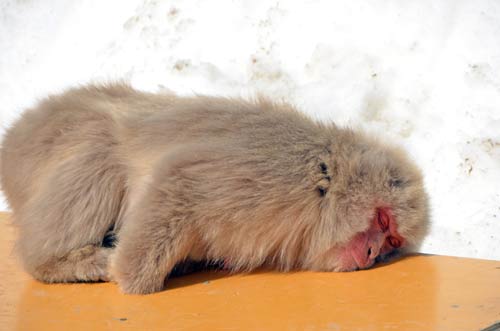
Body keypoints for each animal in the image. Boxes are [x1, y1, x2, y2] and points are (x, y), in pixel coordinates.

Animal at [0, 83, 430, 296]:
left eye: (390, 241)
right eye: (382, 221)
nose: (372, 253)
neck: (319, 191)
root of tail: (17, 135)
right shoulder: (280, 178)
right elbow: (180, 179)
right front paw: (131, 280)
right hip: (49, 143)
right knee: (100, 149)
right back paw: (58, 262)